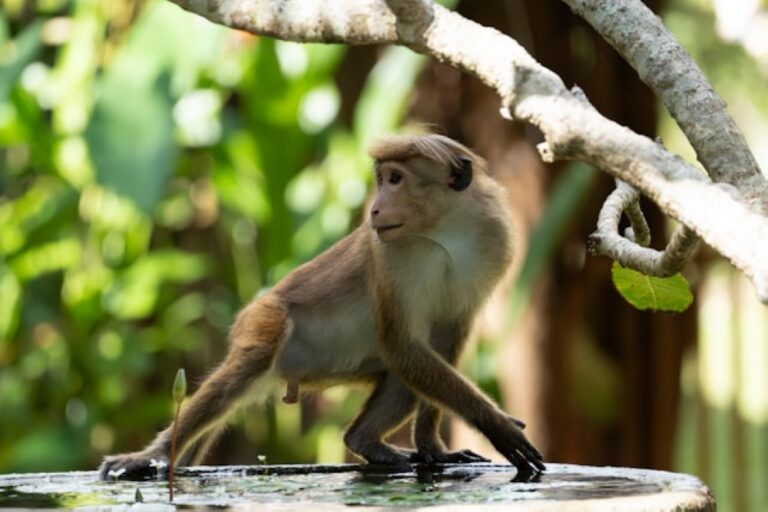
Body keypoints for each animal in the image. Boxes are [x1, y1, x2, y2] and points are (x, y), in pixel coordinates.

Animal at [99, 134, 545, 480]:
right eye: (383, 179)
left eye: (396, 179)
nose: (374, 208)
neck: (445, 231)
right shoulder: (391, 254)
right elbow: (402, 343)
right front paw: (496, 426)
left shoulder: (495, 242)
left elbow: (440, 340)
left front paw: (432, 446)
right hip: (261, 320)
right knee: (254, 360)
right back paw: (151, 455)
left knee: (403, 370)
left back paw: (366, 442)